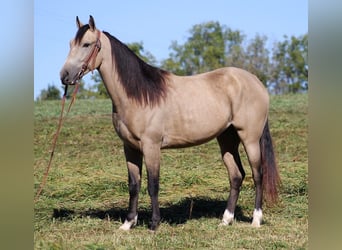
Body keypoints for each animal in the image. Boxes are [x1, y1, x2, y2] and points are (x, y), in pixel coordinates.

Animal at [60, 15, 280, 230]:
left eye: (86, 44)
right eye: (70, 43)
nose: (64, 76)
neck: (139, 95)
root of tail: (256, 82)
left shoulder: (151, 147)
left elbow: (153, 185)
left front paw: (154, 224)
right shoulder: (130, 148)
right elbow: (134, 185)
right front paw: (128, 223)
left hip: (250, 139)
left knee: (258, 175)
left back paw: (256, 220)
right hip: (227, 139)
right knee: (236, 176)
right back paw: (226, 220)